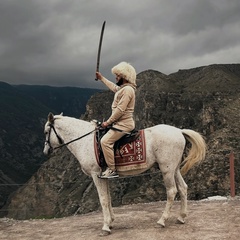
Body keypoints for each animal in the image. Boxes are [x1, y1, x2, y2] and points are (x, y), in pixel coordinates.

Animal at [43, 113, 206, 235]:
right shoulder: (103, 176)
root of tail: (179, 131)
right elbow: (108, 198)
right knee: (183, 188)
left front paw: (105, 227)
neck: (86, 141)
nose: (46, 151)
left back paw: (162, 220)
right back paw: (181, 217)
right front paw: (110, 222)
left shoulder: (96, 175)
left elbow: (102, 200)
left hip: (166, 169)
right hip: (174, 168)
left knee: (172, 191)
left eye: (46, 132)